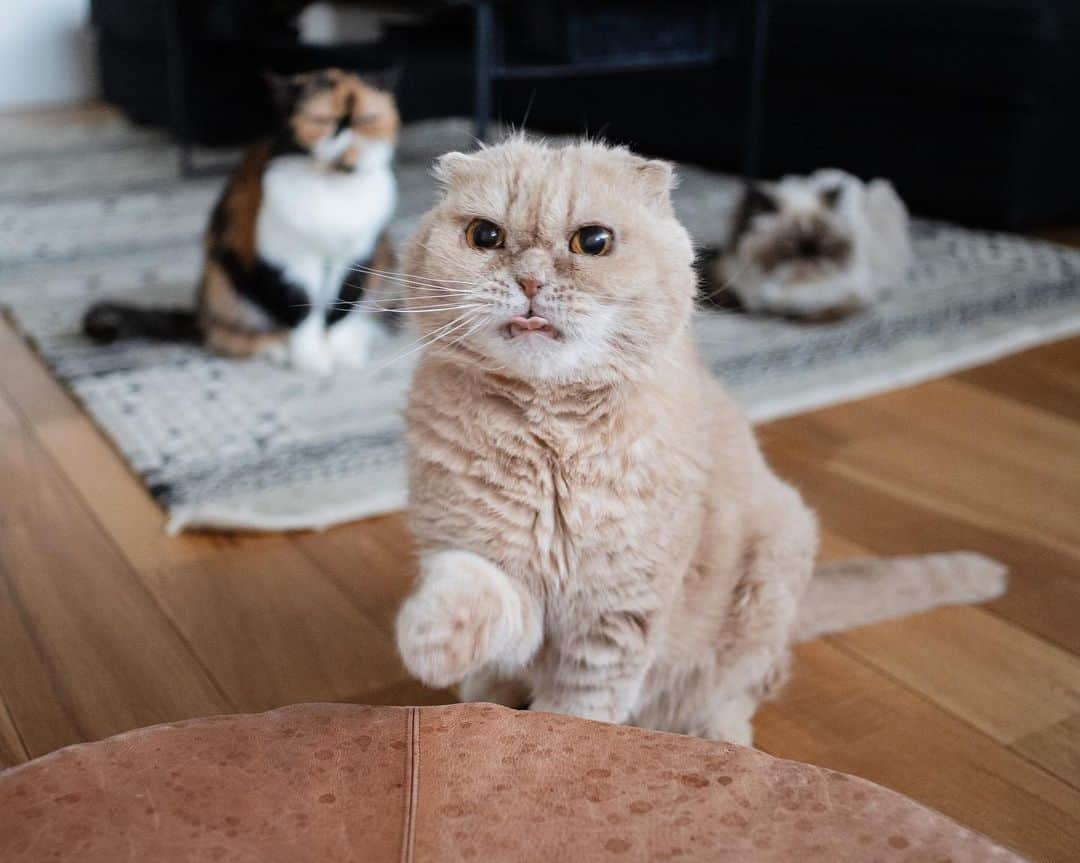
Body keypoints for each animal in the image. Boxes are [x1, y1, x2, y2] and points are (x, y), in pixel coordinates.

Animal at [82, 68, 399, 373]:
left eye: (367, 119)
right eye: (321, 119)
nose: (344, 130)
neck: (335, 189)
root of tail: (199, 311)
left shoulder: (359, 257)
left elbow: (342, 308)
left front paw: (341, 351)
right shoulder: (287, 261)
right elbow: (302, 311)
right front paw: (311, 359)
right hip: (224, 280)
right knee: (218, 334)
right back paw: (273, 345)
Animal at [708, 167, 911, 319]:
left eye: (825, 244)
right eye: (789, 244)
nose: (809, 253)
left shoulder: (846, 297)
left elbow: (816, 311)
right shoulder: (726, 279)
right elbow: (730, 298)